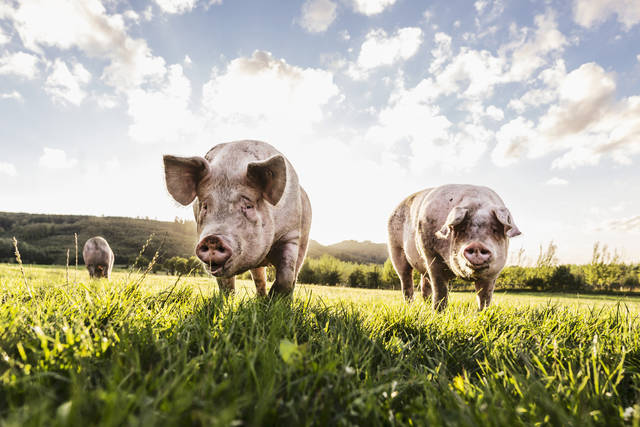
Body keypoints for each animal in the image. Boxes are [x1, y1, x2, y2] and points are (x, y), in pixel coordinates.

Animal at [163, 140, 312, 297]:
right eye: (205, 206)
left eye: (248, 206)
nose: (212, 239)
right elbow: (225, 284)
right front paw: (227, 301)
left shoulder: (291, 234)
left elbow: (286, 275)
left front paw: (276, 300)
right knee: (259, 277)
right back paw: (261, 298)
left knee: (294, 273)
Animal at [387, 184, 521, 311]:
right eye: (462, 229)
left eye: (494, 229)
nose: (476, 245)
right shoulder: (431, 255)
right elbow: (440, 290)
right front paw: (438, 313)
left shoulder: (493, 273)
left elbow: (485, 296)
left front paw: (482, 313)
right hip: (395, 250)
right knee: (406, 281)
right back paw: (410, 306)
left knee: (424, 285)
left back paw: (426, 306)